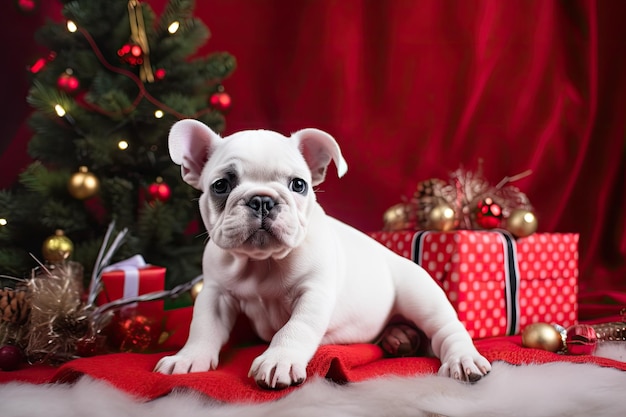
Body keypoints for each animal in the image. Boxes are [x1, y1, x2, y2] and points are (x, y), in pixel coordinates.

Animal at [155, 119, 488, 386]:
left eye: (298, 184)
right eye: (221, 185)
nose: (262, 200)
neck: (261, 262)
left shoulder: (313, 293)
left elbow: (295, 328)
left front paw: (278, 360)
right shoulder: (215, 294)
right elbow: (203, 326)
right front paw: (189, 358)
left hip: (420, 294)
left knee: (447, 328)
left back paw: (462, 359)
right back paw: (400, 338)